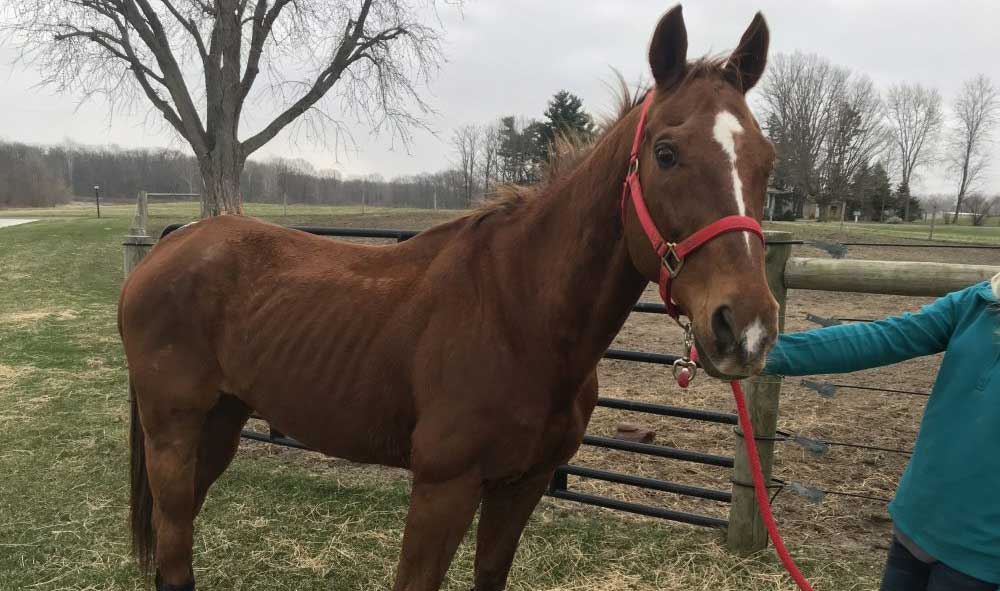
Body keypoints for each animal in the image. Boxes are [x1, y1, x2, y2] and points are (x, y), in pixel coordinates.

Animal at [119, 5, 780, 591]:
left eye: (765, 161)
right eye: (666, 154)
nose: (743, 328)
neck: (519, 312)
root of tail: (173, 242)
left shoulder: (523, 485)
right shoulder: (444, 488)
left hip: (220, 423)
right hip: (173, 432)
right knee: (174, 556)